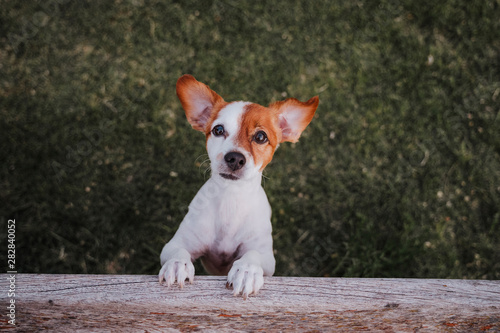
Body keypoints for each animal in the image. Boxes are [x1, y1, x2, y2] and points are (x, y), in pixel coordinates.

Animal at [158, 74, 318, 296]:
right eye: (218, 130)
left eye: (261, 136)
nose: (234, 158)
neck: (231, 197)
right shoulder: (176, 243)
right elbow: (177, 251)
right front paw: (176, 264)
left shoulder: (267, 259)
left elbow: (253, 255)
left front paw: (247, 271)